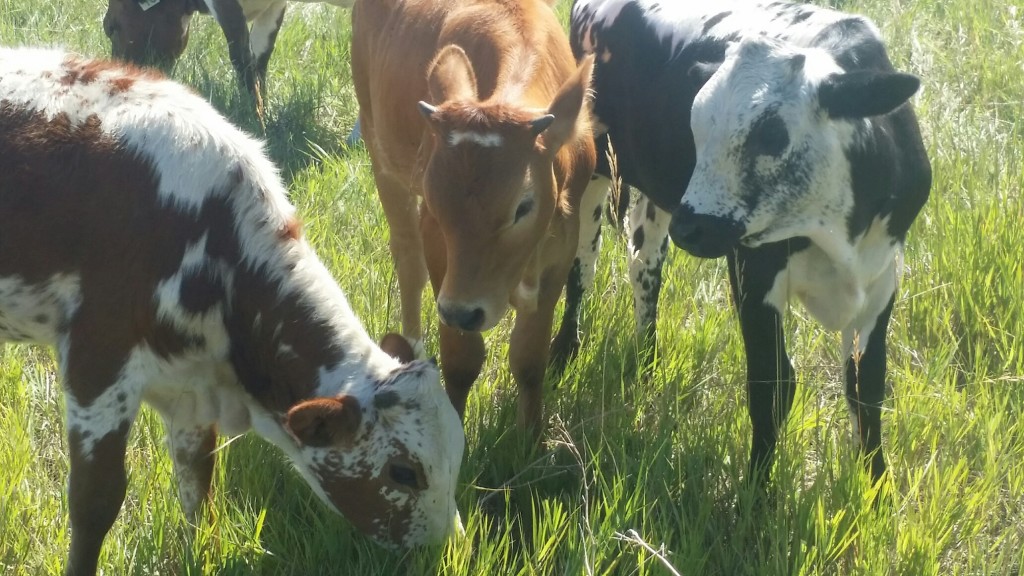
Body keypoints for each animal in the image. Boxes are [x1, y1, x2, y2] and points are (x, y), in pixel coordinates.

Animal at [0, 47, 464, 576]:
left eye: (457, 456)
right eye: (404, 472)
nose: (445, 548)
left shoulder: (190, 388)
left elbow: (198, 485)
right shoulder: (98, 359)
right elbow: (95, 502)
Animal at [351, 0, 598, 435]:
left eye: (523, 206)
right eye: (436, 199)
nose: (463, 312)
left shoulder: (562, 246)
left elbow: (529, 359)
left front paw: (531, 439)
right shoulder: (437, 243)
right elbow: (461, 359)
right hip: (377, 146)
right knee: (408, 260)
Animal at [567, 0, 931, 491]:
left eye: (772, 134)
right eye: (697, 126)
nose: (691, 227)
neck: (837, 233)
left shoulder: (882, 272)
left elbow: (867, 384)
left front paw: (877, 490)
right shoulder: (752, 267)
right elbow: (772, 384)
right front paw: (757, 495)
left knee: (644, 267)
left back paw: (646, 364)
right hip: (593, 164)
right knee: (580, 267)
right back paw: (562, 356)